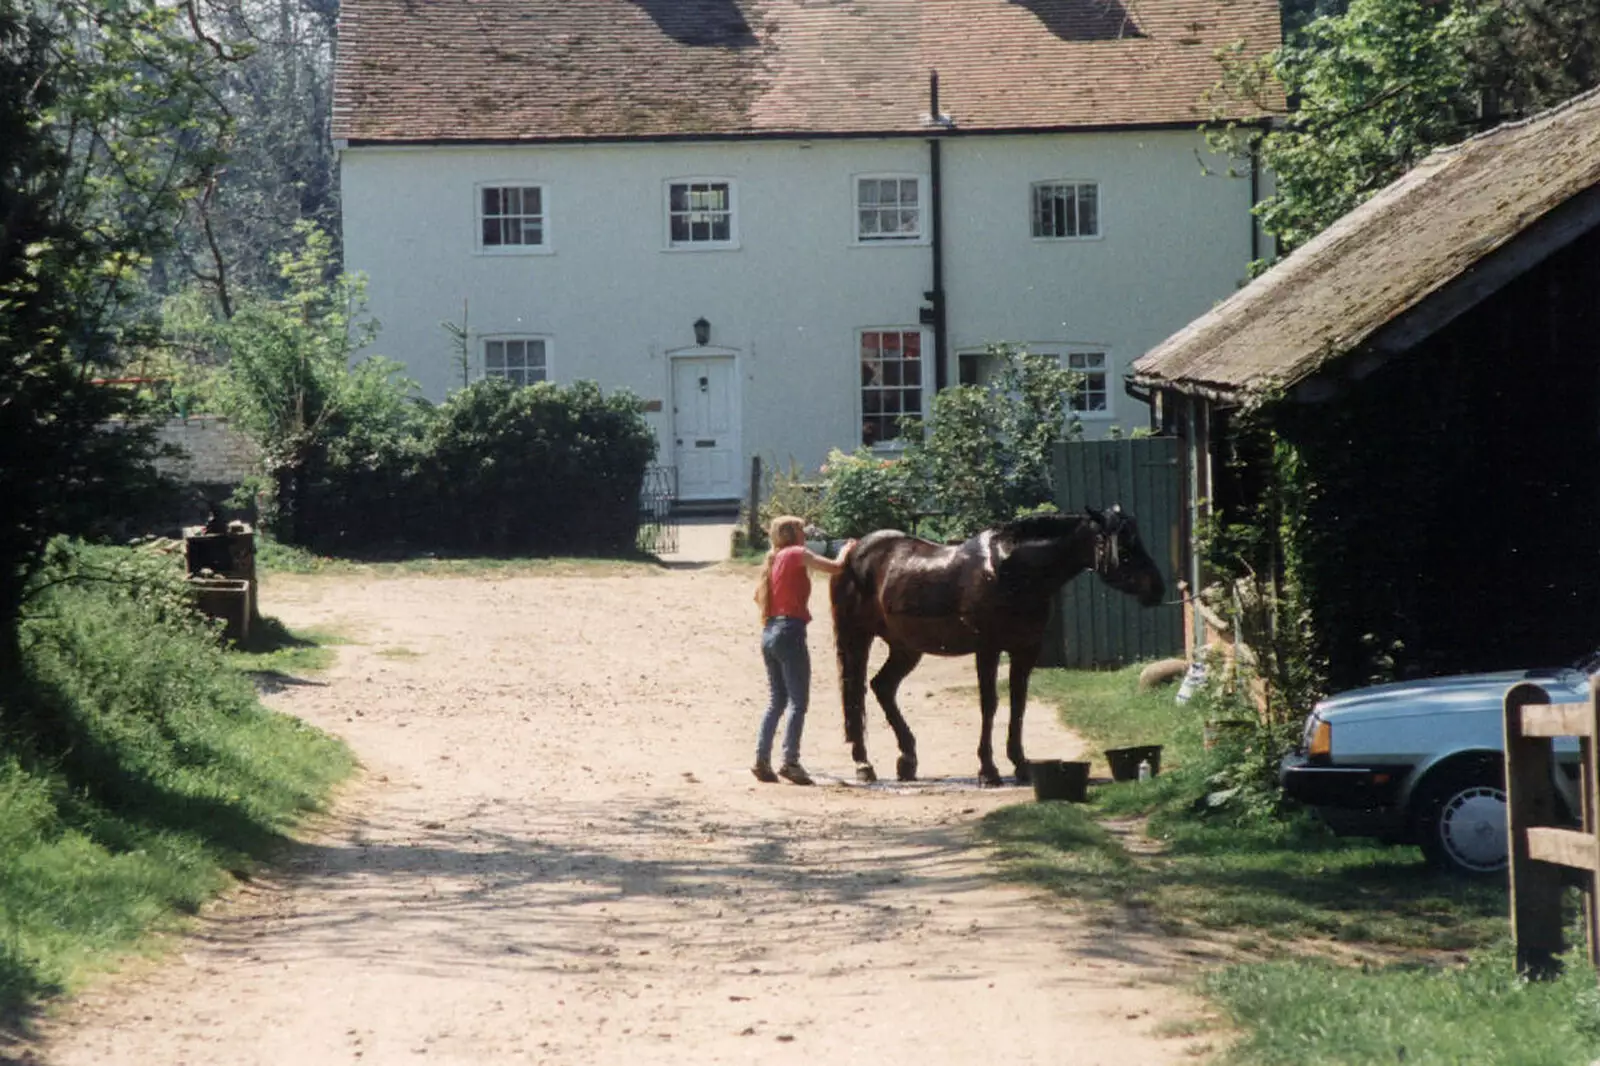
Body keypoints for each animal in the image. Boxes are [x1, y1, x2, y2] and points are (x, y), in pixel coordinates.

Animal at [838, 505, 1164, 787]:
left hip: (906, 648)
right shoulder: (988, 649)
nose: (1157, 588)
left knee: (882, 687)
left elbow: (1018, 703)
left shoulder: (1026, 650)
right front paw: (988, 770)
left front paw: (1020, 765)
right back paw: (864, 766)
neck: (1009, 570)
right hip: (857, 638)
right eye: (1125, 547)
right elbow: (990, 704)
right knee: (855, 694)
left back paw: (907, 760)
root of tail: (856, 550)